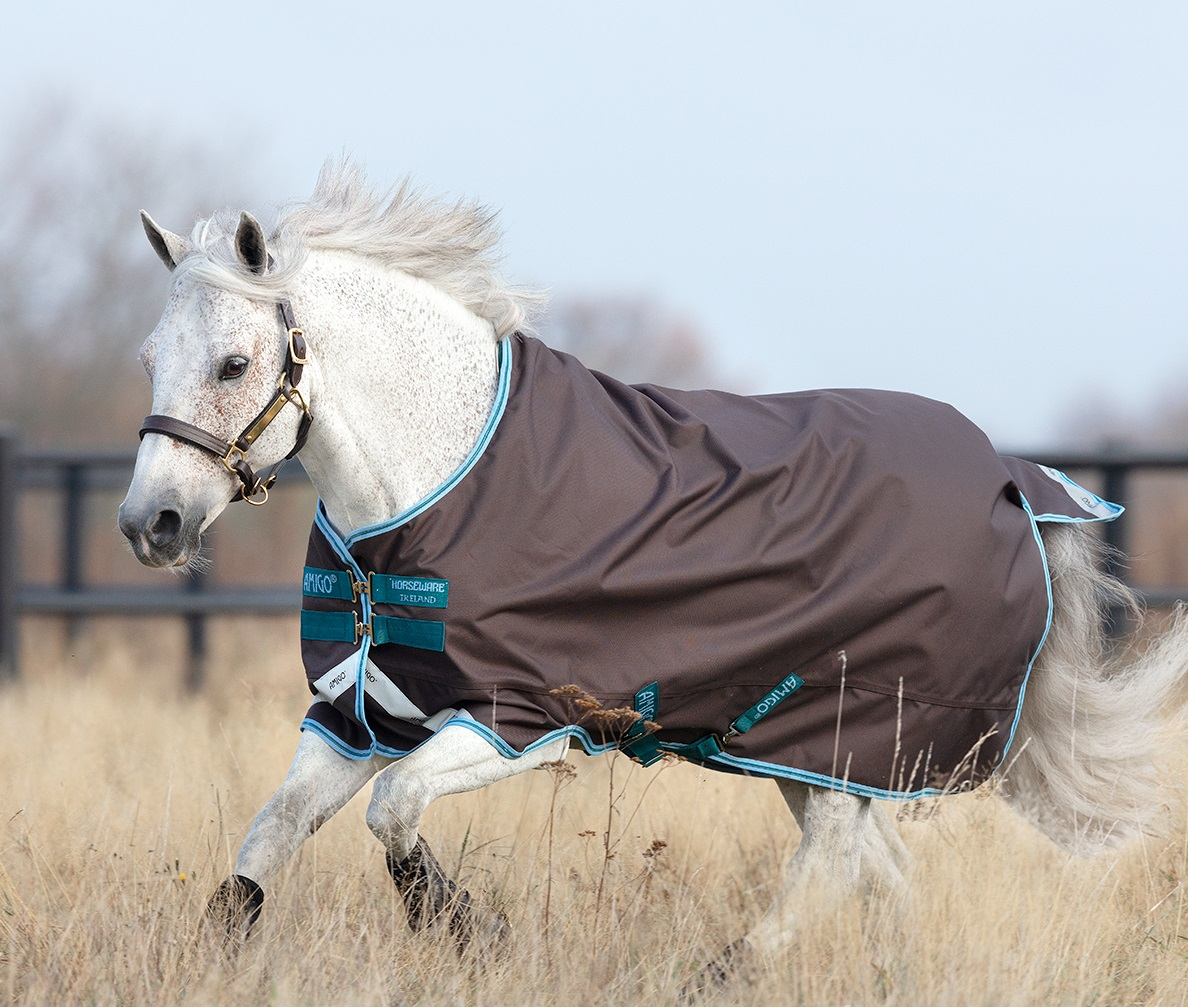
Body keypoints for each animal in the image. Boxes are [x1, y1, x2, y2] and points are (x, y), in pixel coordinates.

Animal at [118, 162, 1188, 993]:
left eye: (234, 362)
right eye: (151, 356)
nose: (148, 524)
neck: (441, 480)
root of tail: (1017, 483)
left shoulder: (518, 720)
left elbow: (395, 814)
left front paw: (475, 935)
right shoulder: (358, 713)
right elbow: (266, 842)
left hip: (847, 732)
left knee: (832, 867)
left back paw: (723, 974)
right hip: (802, 748)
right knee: (875, 871)